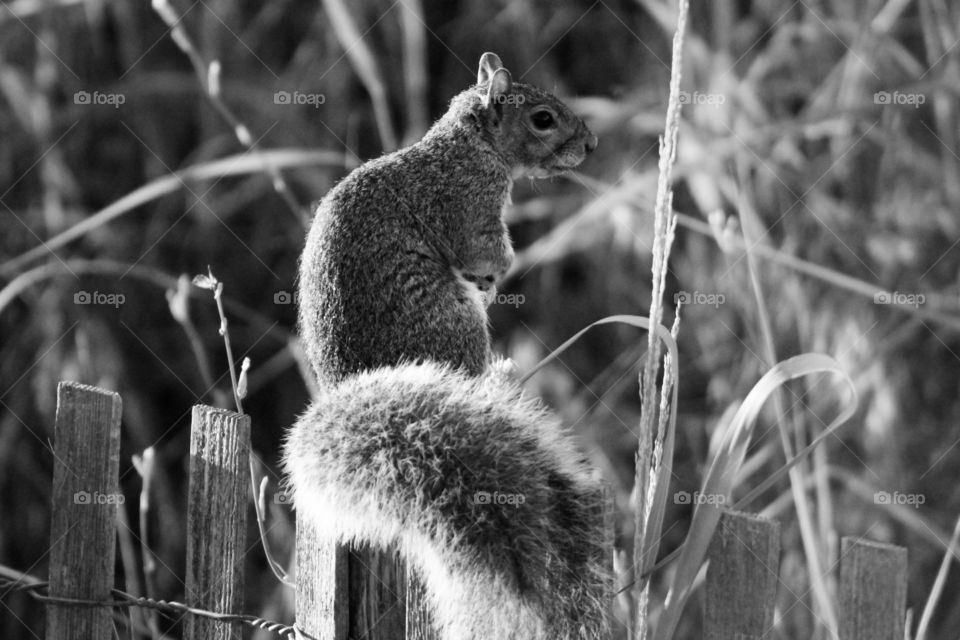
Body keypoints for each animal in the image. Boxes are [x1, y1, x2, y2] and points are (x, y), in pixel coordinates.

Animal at [282, 53, 612, 640]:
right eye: (543, 119)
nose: (592, 144)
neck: (467, 142)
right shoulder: (470, 206)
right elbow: (485, 249)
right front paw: (498, 274)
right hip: (458, 325)